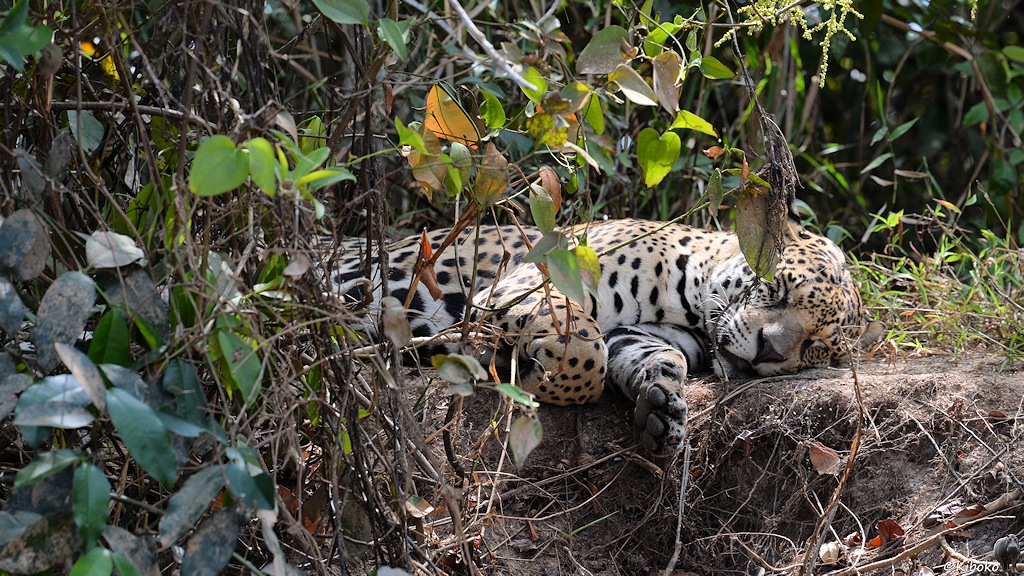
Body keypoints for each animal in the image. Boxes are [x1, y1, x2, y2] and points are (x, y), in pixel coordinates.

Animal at [331, 211, 876, 455]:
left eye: (815, 347)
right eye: (778, 291)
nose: (768, 351)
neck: (688, 307)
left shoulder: (644, 332)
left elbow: (651, 356)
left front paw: (661, 407)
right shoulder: (529, 283)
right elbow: (584, 346)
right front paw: (533, 377)